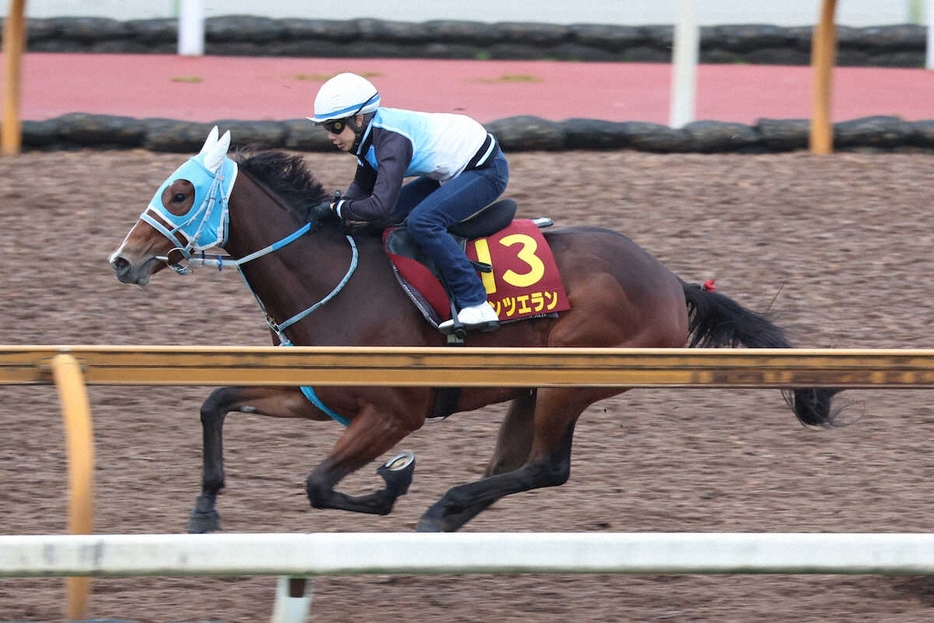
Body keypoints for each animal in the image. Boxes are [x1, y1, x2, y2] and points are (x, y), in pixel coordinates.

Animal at [109, 129, 840, 532]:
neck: (329, 277)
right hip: (528, 389)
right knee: (515, 467)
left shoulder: (394, 412)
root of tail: (668, 279)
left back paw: (443, 506)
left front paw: (395, 485)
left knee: (546, 468)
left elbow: (318, 484)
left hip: (570, 378)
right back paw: (448, 517)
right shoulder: (314, 396)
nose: (123, 259)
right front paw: (204, 510)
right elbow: (214, 403)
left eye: (180, 193)